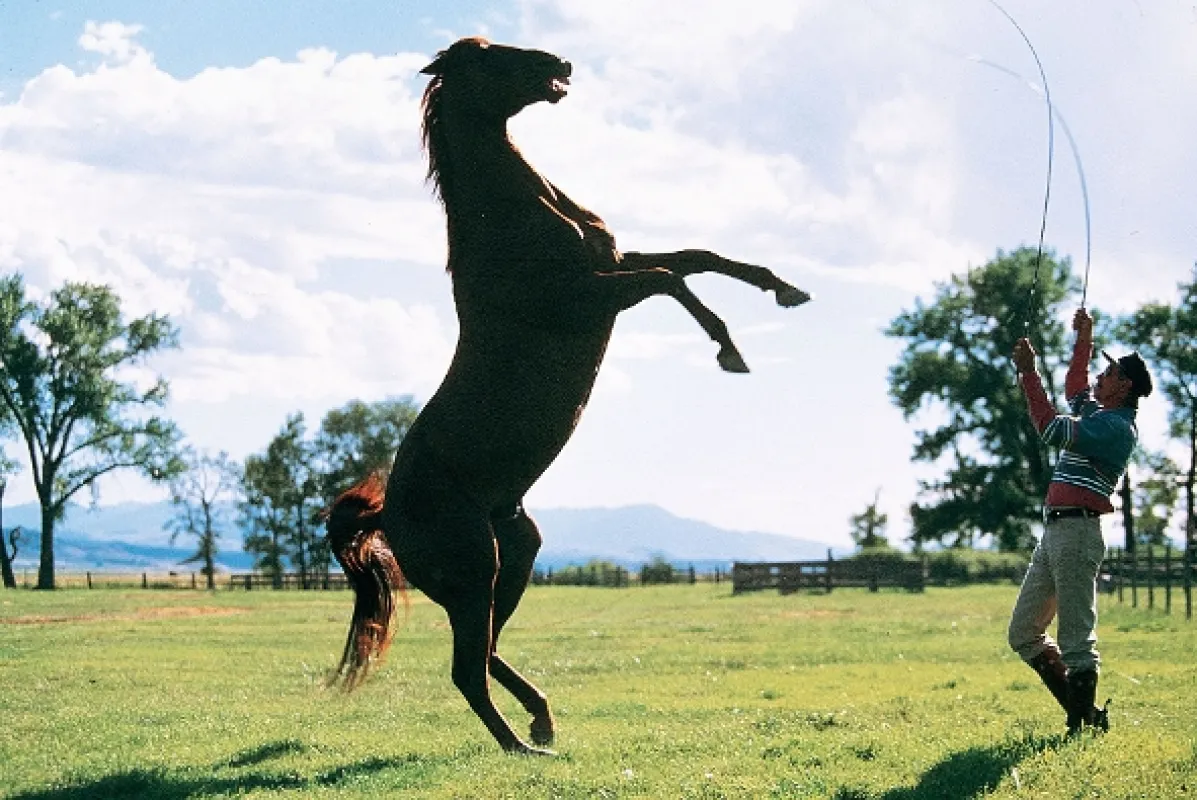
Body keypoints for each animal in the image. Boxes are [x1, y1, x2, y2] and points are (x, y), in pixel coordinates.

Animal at [324, 36, 810, 756]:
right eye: (487, 57)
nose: (561, 65)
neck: (514, 219)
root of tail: (386, 515)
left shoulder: (614, 264)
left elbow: (698, 257)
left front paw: (784, 288)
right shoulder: (593, 295)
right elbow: (671, 279)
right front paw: (730, 351)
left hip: (514, 557)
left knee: (488, 651)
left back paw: (541, 720)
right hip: (475, 571)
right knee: (466, 668)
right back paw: (522, 746)